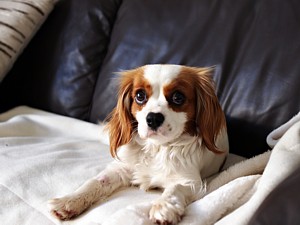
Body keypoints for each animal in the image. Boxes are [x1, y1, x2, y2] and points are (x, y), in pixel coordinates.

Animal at [48, 64, 229, 224]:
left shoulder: (191, 182)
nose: (153, 118)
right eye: (140, 96)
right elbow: (95, 182)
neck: (156, 147)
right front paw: (69, 201)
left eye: (178, 97)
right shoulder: (121, 169)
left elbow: (175, 189)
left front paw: (164, 207)